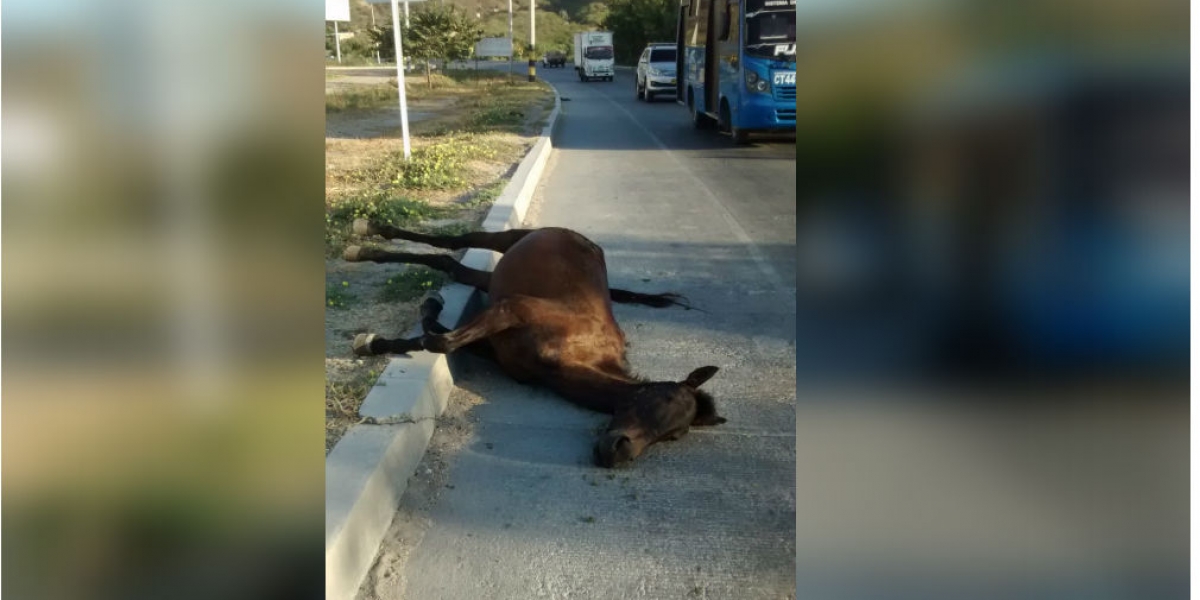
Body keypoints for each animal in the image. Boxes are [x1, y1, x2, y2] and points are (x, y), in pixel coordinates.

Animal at [343, 222, 724, 468]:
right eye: (665, 398)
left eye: (674, 436)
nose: (618, 454)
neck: (575, 353)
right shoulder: (511, 309)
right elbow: (441, 341)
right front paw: (404, 324)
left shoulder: (496, 346)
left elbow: (438, 336)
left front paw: (376, 341)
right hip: (510, 240)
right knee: (458, 240)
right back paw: (366, 237)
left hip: (494, 278)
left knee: (450, 264)